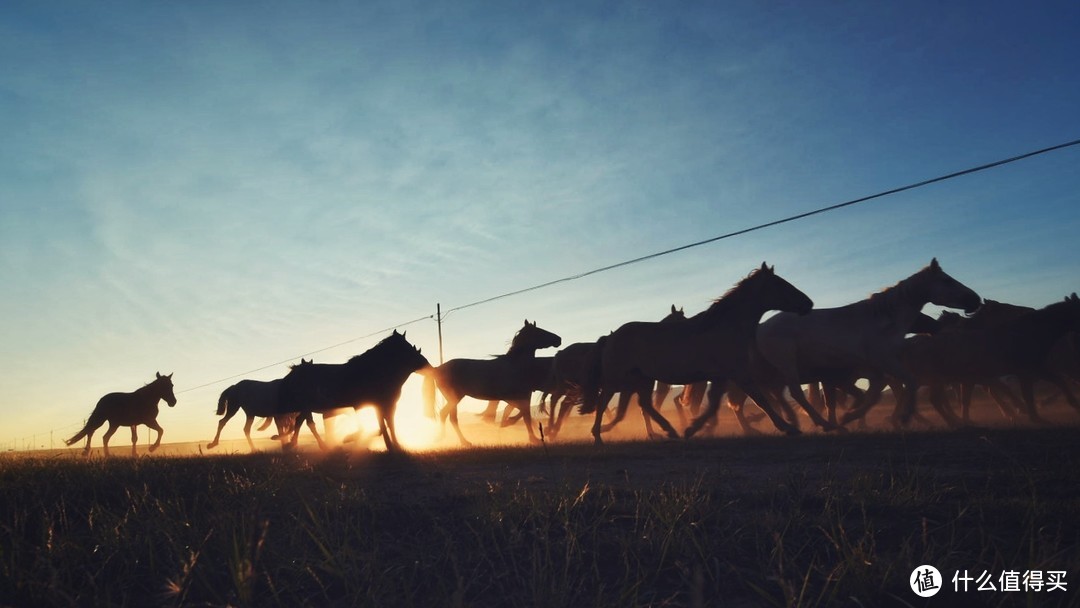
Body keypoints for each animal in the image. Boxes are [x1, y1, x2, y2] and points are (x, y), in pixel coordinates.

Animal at [278, 332, 429, 451]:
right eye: (407, 348)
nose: (426, 364)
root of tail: (296, 372)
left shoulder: (386, 405)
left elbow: (388, 425)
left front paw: (396, 446)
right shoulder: (370, 405)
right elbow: (379, 426)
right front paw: (350, 438)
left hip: (306, 407)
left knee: (300, 422)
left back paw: (296, 445)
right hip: (306, 406)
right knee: (304, 423)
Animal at [421, 319, 561, 447]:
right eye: (539, 331)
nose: (558, 339)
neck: (515, 365)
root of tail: (437, 369)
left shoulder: (519, 396)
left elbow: (524, 413)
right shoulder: (512, 397)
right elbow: (525, 414)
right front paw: (533, 437)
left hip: (453, 399)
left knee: (448, 416)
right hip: (454, 398)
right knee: (448, 416)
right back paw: (461, 441)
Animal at [583, 264, 812, 444]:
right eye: (781, 284)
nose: (808, 303)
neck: (724, 326)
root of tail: (611, 336)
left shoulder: (721, 377)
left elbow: (713, 405)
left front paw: (692, 429)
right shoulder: (738, 373)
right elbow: (760, 400)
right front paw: (789, 427)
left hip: (642, 380)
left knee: (644, 405)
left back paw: (669, 430)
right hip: (617, 379)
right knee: (604, 402)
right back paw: (598, 435)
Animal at [751, 259, 980, 429]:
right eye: (946, 280)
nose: (975, 300)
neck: (881, 320)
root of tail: (761, 328)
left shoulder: (876, 369)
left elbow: (874, 394)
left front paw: (851, 416)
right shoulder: (884, 361)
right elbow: (910, 382)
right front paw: (904, 417)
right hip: (787, 364)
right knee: (794, 393)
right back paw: (819, 424)